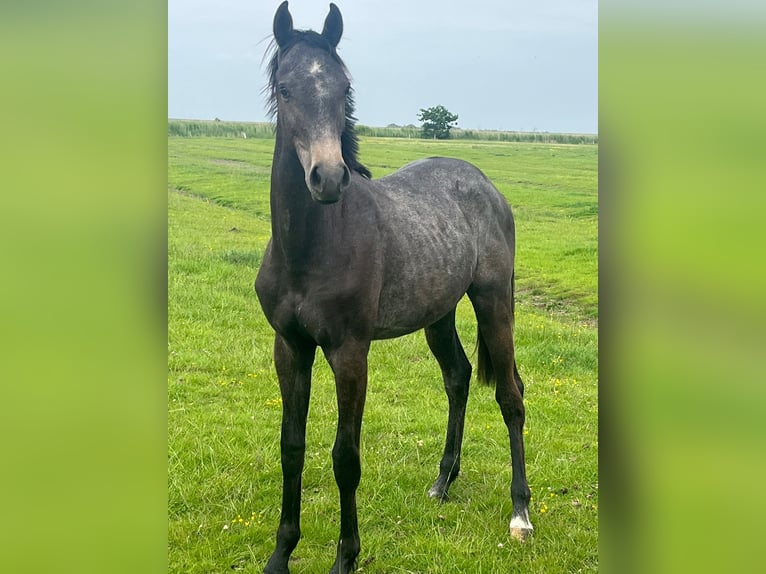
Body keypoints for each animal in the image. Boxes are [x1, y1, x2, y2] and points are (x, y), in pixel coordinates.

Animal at [254, 3, 532, 572]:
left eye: (343, 87)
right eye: (287, 88)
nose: (328, 177)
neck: (309, 247)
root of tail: (485, 184)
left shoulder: (349, 351)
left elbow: (345, 457)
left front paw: (346, 557)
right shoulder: (289, 347)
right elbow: (291, 447)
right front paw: (281, 554)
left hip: (493, 303)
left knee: (511, 395)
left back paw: (520, 513)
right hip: (438, 315)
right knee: (458, 377)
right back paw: (443, 482)